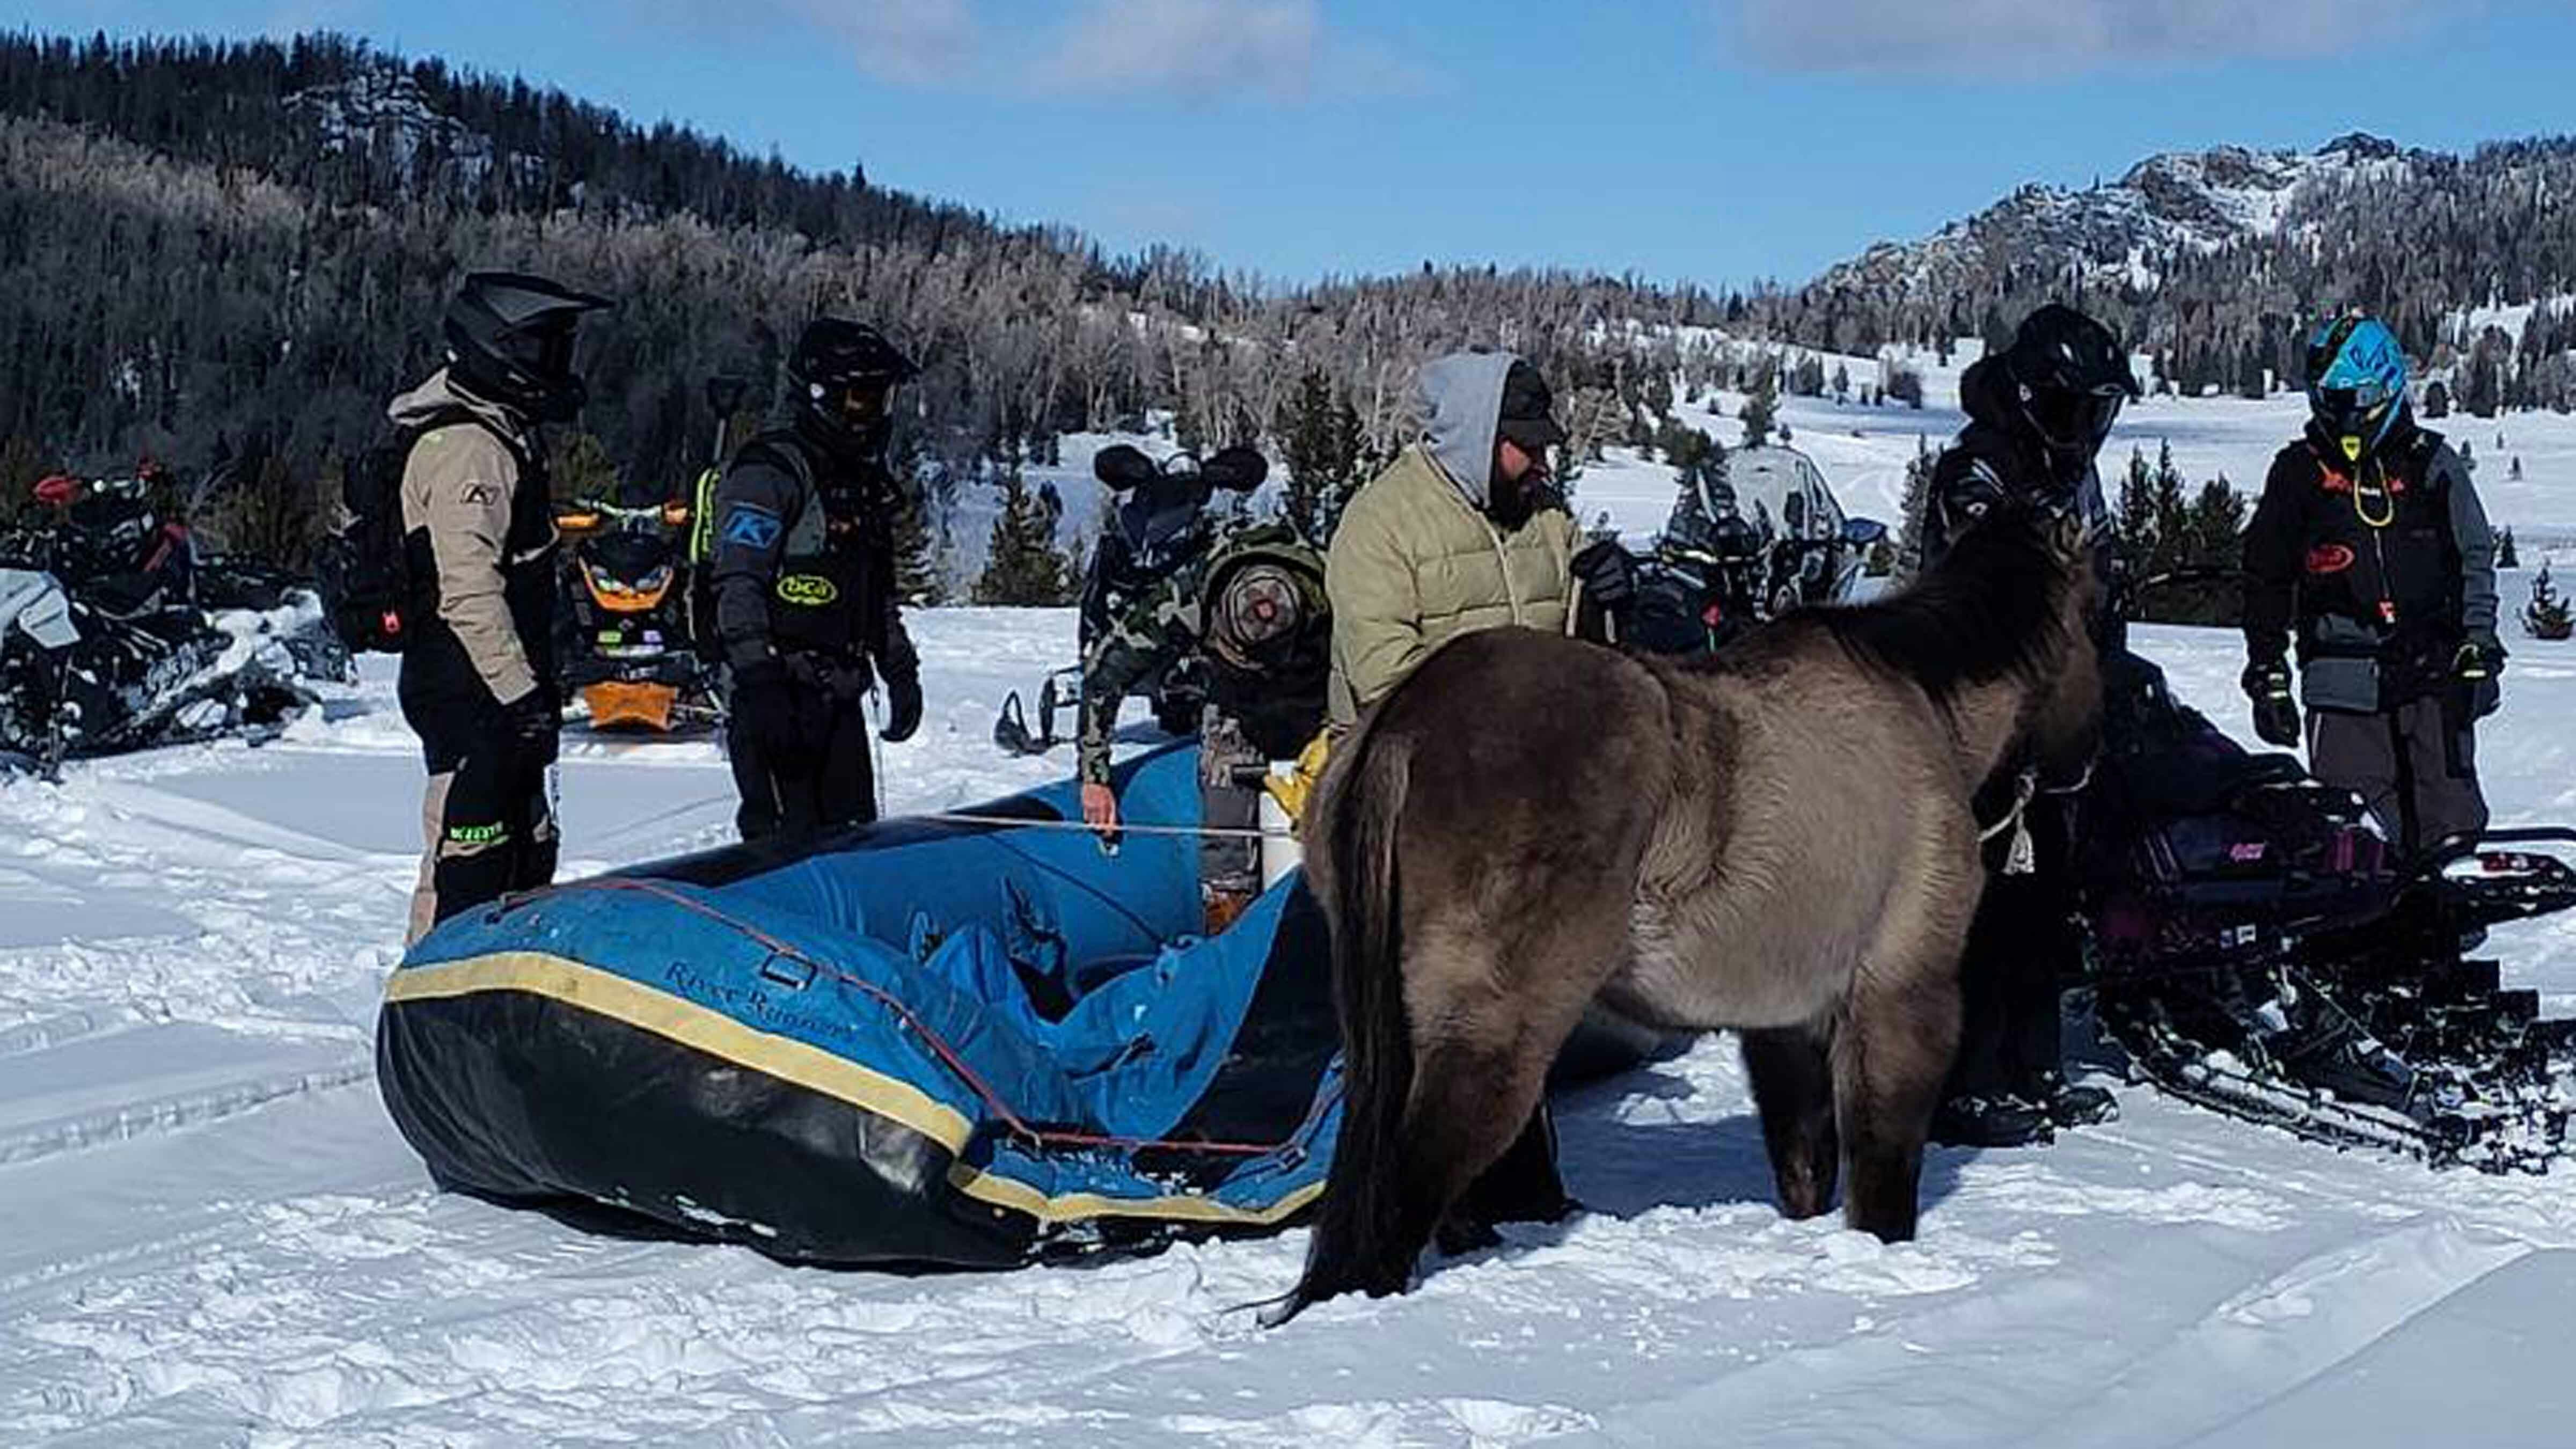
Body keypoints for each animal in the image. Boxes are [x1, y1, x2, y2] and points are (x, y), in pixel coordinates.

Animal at [1269, 500, 2103, 1323]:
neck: (1914, 703)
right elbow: (1881, 1175)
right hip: (1491, 1036)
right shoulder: (1900, 1001)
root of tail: (1407, 720)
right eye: (2097, 614)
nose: (2091, 756)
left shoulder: (1787, 1024)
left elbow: (1803, 1165)